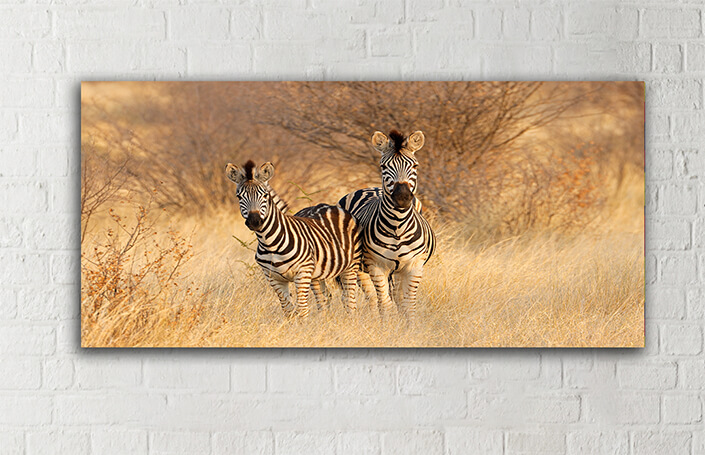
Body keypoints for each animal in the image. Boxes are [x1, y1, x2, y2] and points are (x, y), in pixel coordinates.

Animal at [226, 160, 361, 318]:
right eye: (239, 197)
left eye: (265, 195)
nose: (254, 221)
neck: (270, 243)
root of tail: (330, 206)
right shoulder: (274, 279)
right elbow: (288, 310)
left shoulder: (302, 273)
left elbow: (302, 309)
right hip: (318, 274)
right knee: (324, 298)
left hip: (351, 265)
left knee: (349, 299)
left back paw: (350, 319)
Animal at [338, 130, 436, 320]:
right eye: (383, 167)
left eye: (415, 166)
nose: (402, 198)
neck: (397, 226)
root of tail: (370, 188)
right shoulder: (377, 266)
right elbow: (385, 304)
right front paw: (387, 326)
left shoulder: (414, 266)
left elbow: (408, 305)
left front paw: (409, 327)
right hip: (359, 267)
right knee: (369, 298)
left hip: (398, 271)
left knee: (395, 297)